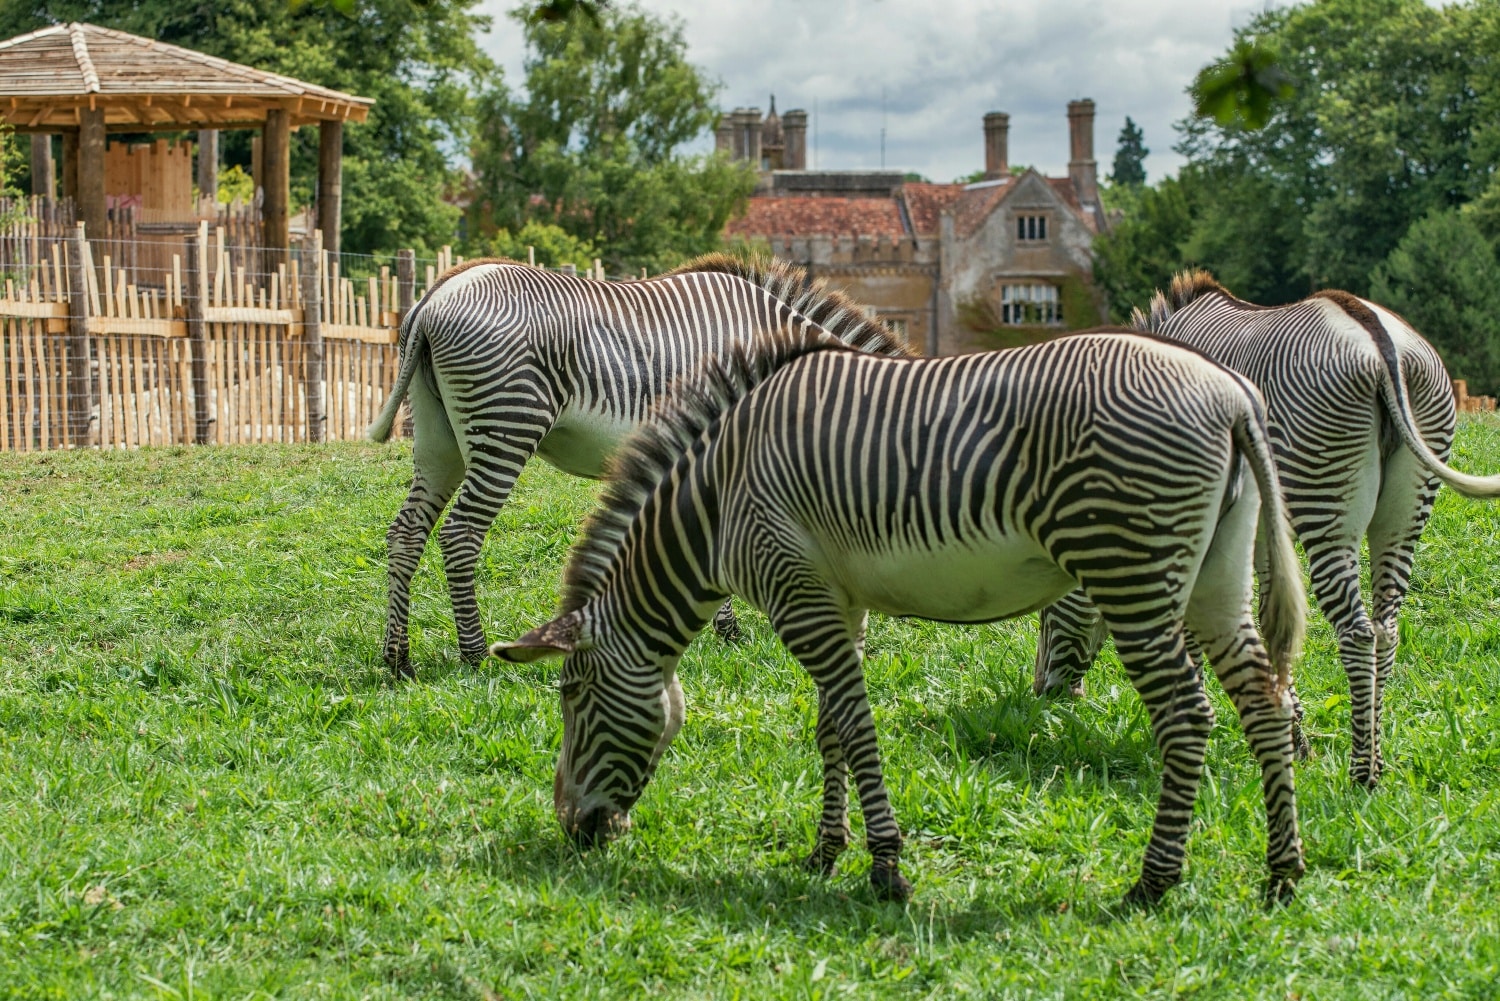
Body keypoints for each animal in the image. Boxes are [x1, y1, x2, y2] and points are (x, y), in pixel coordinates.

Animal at [369, 256, 906, 681]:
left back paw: (398, 658)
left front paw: (717, 630)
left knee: (406, 532)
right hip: (506, 424)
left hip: (438, 439)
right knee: (460, 534)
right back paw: (475, 655)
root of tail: (434, 298)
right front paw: (731, 630)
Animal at [498, 330, 1308, 906]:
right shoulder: (833, 601)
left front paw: (885, 867)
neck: (718, 498)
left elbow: (856, 726)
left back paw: (1154, 881)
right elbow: (829, 726)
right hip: (1216, 577)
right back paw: (1282, 873)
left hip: (1128, 570)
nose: (573, 830)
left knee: (1188, 715)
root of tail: (1231, 395)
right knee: (1263, 701)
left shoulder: (797, 598)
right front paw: (825, 851)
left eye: (571, 695)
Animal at [1032, 271, 1500, 792]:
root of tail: (1382, 342)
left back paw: (1361, 773)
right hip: (1406, 511)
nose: (1044, 694)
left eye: (1046, 610)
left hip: (1324, 504)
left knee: (1358, 633)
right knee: (1387, 631)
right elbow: (1274, 620)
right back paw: (1376, 760)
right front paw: (1296, 739)